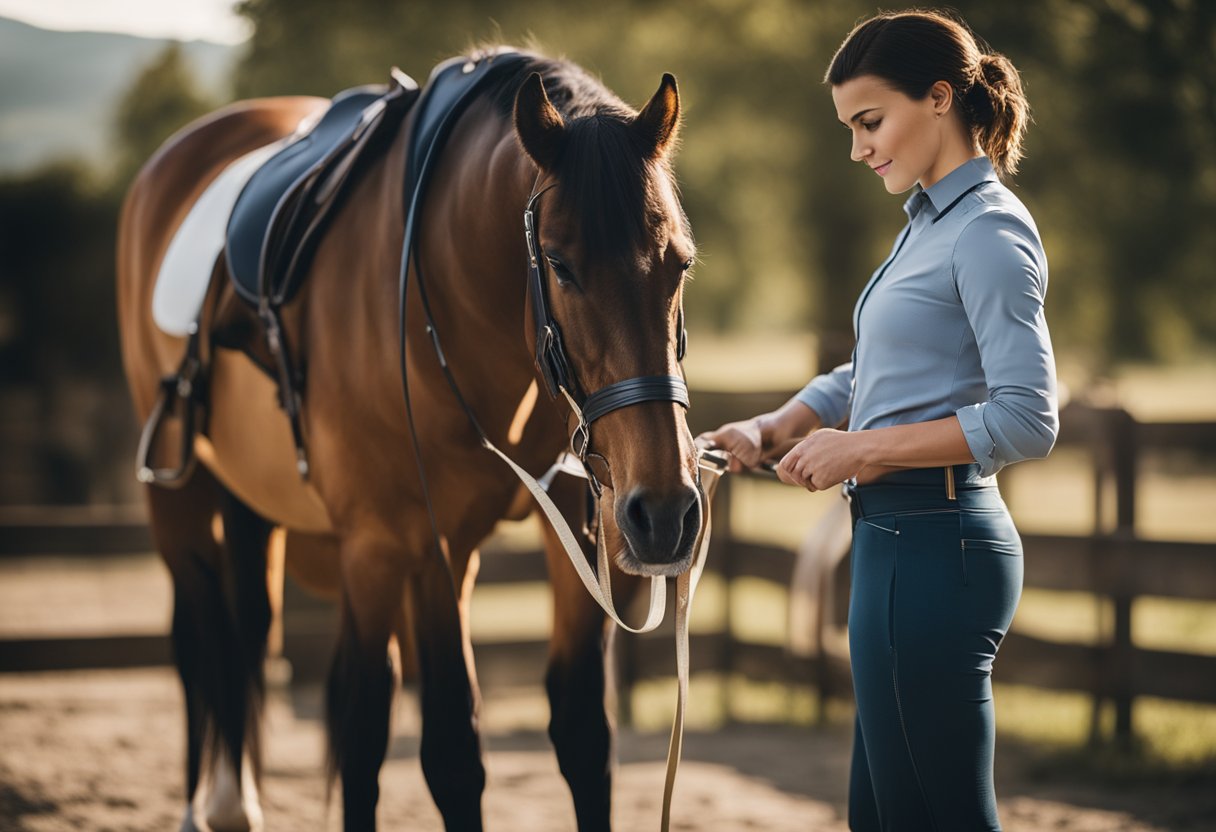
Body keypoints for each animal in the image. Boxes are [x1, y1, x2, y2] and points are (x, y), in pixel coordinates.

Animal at [117, 48, 701, 830]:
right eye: (560, 264)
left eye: (680, 261)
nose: (665, 511)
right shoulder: (411, 543)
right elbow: (430, 749)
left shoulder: (577, 534)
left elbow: (582, 738)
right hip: (186, 501)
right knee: (202, 640)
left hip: (256, 500)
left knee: (250, 629)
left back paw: (235, 802)